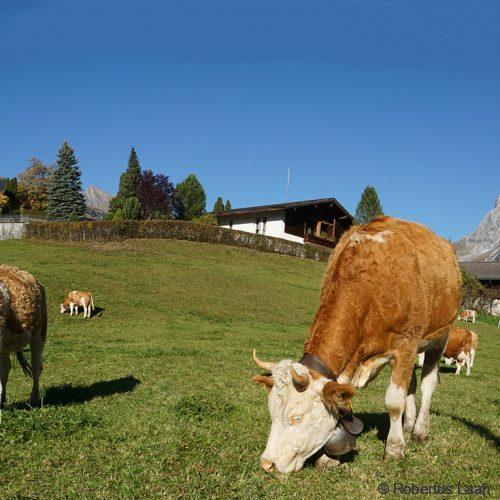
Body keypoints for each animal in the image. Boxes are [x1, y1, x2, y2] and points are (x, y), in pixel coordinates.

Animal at [254, 216, 460, 472]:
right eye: (271, 412)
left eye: (297, 417)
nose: (267, 463)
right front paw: (327, 457)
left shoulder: (406, 343)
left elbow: (394, 402)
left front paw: (394, 449)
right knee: (411, 386)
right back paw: (408, 424)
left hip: (440, 337)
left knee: (427, 384)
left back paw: (420, 430)